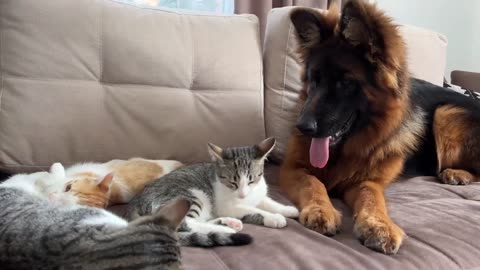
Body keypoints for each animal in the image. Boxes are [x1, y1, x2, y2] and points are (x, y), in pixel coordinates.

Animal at [127, 138, 300, 248]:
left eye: (251, 181)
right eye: (232, 183)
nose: (242, 195)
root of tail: (135, 205)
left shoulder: (257, 193)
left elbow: (268, 202)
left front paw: (287, 210)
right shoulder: (228, 206)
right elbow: (253, 209)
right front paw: (273, 218)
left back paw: (229, 223)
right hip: (190, 196)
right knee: (187, 223)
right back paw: (226, 230)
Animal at [280, 0, 480, 253]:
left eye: (345, 82)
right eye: (314, 80)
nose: (302, 127)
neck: (345, 150)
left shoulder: (367, 181)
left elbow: (371, 196)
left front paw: (379, 225)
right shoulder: (294, 168)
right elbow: (312, 183)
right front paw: (320, 209)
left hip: (446, 114)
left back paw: (457, 173)